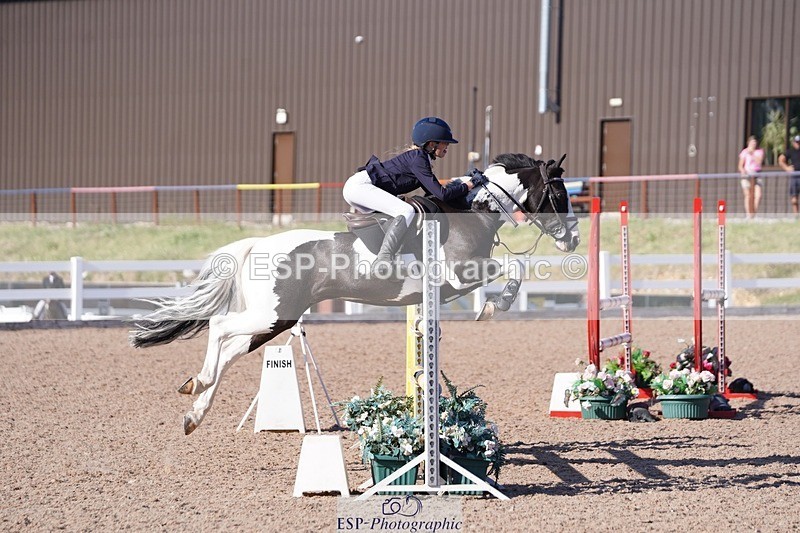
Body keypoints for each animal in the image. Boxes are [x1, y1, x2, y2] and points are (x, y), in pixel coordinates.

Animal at [129, 153, 580, 434]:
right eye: (560, 194)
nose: (573, 239)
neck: (473, 213)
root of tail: (257, 244)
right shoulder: (460, 274)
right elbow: (513, 269)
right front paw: (493, 307)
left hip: (278, 319)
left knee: (231, 350)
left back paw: (194, 409)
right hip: (270, 314)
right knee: (220, 328)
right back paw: (199, 385)